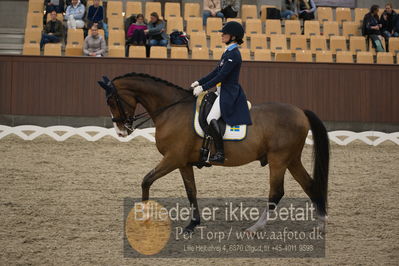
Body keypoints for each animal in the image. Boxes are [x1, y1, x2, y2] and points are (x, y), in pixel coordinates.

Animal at [98, 72, 330, 233]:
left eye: (111, 101)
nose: (121, 131)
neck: (171, 110)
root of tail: (300, 112)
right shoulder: (183, 163)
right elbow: (191, 191)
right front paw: (193, 224)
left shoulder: (173, 158)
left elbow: (146, 180)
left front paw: (143, 215)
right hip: (291, 159)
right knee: (309, 185)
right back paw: (320, 225)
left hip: (279, 160)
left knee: (276, 192)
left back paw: (255, 228)